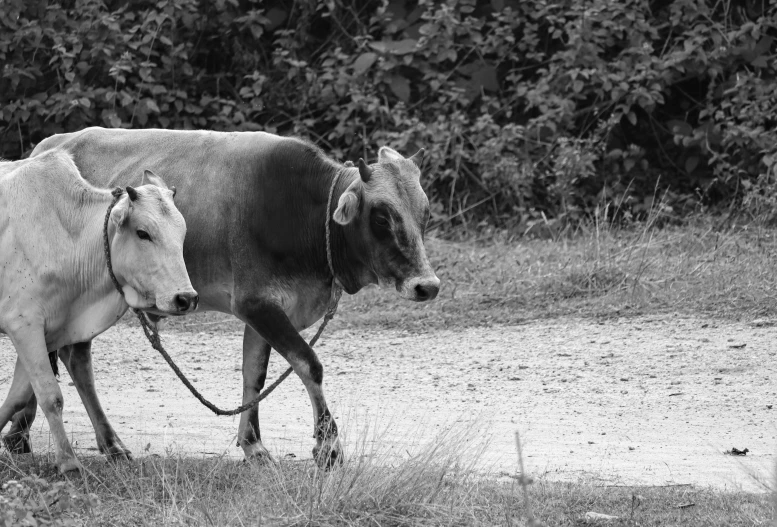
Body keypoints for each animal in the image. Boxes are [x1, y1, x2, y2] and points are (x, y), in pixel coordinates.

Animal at [0, 150, 197, 474]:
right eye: (143, 233)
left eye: (181, 233)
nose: (186, 298)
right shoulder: (24, 325)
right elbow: (50, 395)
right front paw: (68, 462)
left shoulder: (48, 332)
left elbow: (17, 396)